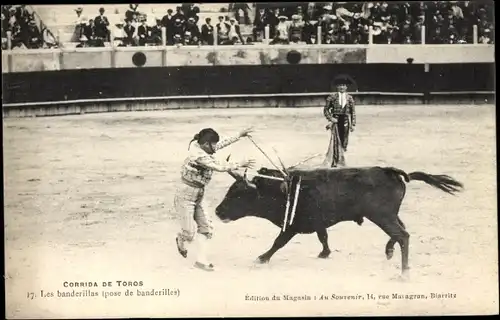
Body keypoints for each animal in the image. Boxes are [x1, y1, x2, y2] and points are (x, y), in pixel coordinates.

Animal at [213, 165, 462, 276]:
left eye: (237, 195)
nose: (217, 211)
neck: (280, 191)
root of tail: (391, 171)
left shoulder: (291, 226)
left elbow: (278, 242)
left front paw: (262, 258)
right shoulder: (318, 222)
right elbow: (323, 236)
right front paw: (325, 253)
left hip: (382, 216)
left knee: (402, 235)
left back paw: (404, 271)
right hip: (390, 215)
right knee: (402, 232)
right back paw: (390, 252)